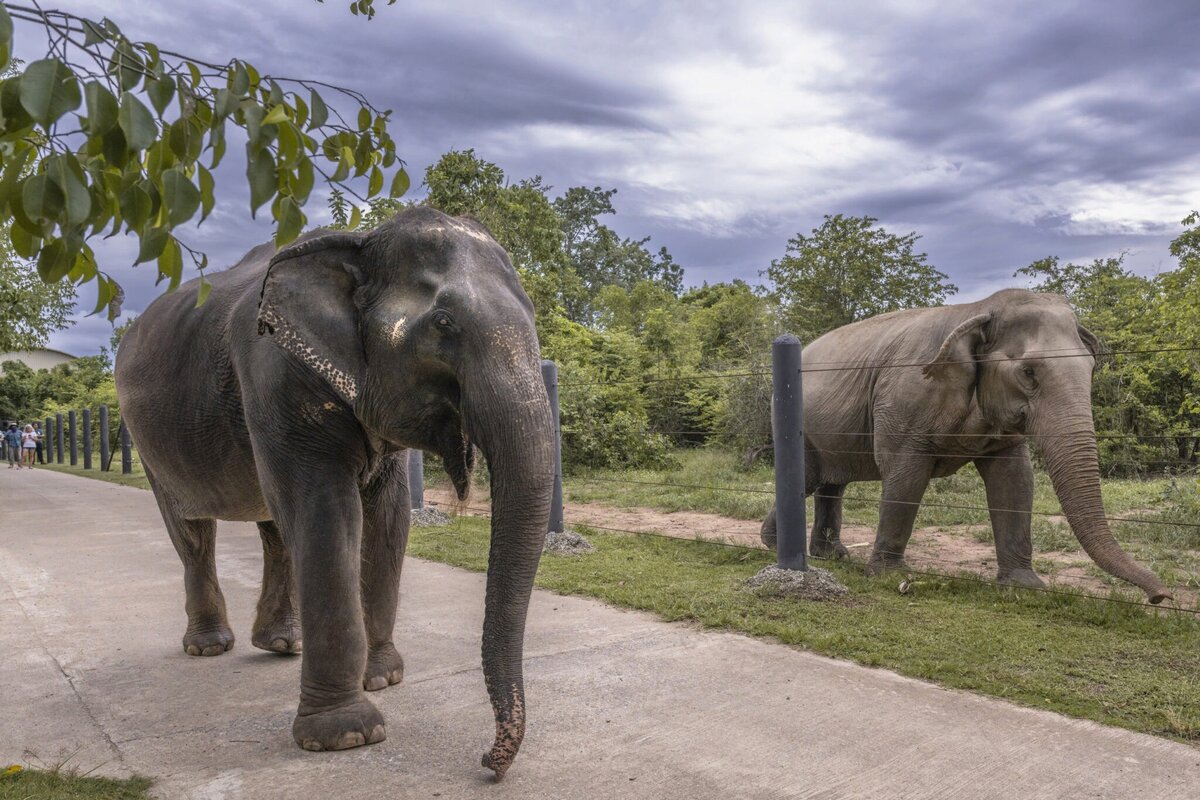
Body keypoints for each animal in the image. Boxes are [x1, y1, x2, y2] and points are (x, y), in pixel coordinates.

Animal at [114, 205, 554, 777]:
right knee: (193, 531)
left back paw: (283, 643)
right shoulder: (275, 371)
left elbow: (389, 518)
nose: (488, 761)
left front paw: (384, 679)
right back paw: (209, 648)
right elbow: (327, 511)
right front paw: (348, 735)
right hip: (147, 440)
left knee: (274, 528)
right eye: (443, 324)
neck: (361, 242)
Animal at [758, 291, 1171, 604]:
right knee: (810, 480)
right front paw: (890, 577)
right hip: (794, 419)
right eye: (1029, 373)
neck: (978, 309)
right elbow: (906, 475)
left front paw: (1025, 587)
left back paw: (832, 556)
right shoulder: (904, 402)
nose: (1160, 597)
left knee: (832, 484)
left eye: (1091, 368)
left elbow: (1015, 480)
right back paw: (776, 546)